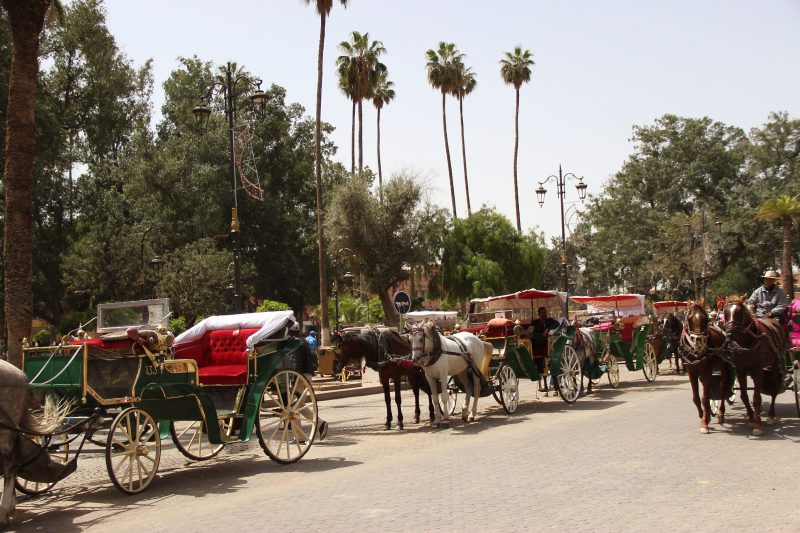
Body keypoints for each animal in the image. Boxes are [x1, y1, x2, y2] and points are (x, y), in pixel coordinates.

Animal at [680, 302, 732, 430]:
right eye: (689, 318)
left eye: (705, 319)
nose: (699, 343)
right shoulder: (691, 371)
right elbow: (696, 397)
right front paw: (702, 414)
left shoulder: (706, 370)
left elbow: (704, 397)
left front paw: (704, 422)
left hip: (723, 367)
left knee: (723, 389)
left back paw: (721, 413)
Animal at [720, 294, 784, 434]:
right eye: (726, 313)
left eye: (739, 313)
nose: (730, 334)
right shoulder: (740, 369)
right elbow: (744, 396)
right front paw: (750, 418)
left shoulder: (757, 369)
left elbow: (756, 398)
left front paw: (758, 425)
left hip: (775, 365)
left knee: (774, 390)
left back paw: (770, 416)